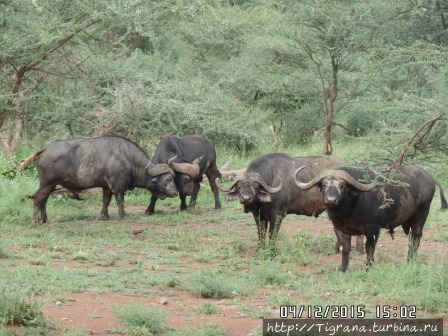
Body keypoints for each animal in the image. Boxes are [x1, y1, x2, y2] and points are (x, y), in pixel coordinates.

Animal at [31, 136, 178, 223]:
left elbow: (106, 201)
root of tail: (46, 149)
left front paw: (104, 216)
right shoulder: (118, 185)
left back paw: (45, 219)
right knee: (38, 197)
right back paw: (37, 220)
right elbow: (120, 200)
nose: (175, 192)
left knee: (43, 199)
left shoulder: (106, 187)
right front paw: (122, 215)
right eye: (168, 178)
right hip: (47, 183)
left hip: (51, 185)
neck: (128, 158)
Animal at [296, 164, 446, 272]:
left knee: (416, 237)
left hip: (421, 214)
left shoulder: (372, 229)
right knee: (411, 238)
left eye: (342, 185)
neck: (348, 211)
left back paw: (411, 261)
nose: (331, 200)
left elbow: (369, 248)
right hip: (406, 221)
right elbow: (345, 249)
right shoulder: (339, 229)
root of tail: (430, 177)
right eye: (324, 185)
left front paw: (369, 266)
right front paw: (343, 268)